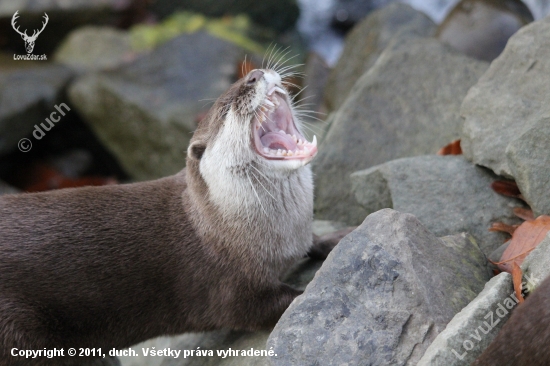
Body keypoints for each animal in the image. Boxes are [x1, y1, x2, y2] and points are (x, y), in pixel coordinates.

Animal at [0, 69, 340, 366]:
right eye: (225, 110)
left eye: (246, 77)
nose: (255, 74)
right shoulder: (228, 286)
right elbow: (266, 307)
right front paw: (306, 295)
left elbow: (314, 241)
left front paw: (334, 239)